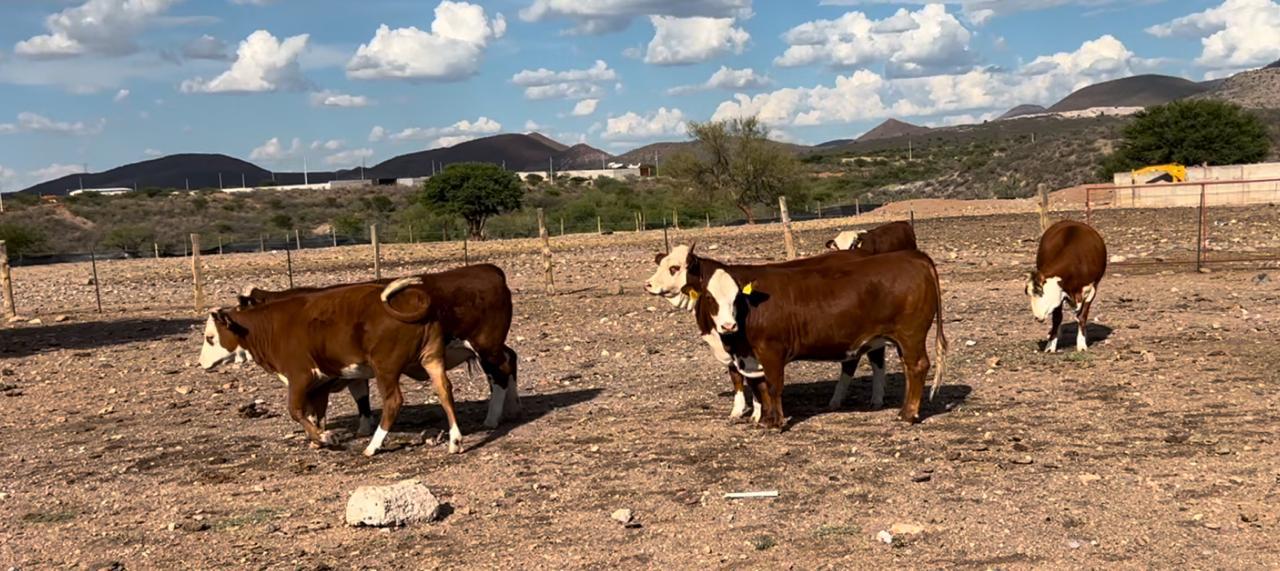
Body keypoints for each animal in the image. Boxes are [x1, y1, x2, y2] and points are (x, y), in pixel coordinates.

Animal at [696, 249, 947, 427]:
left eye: (737, 296)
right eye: (709, 297)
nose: (728, 325)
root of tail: (914, 256)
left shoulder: (772, 351)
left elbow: (774, 386)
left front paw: (776, 422)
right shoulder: (750, 357)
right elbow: (760, 387)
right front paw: (765, 419)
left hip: (911, 334)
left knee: (917, 366)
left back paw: (908, 415)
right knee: (908, 368)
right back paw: (905, 410)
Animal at [1024, 220, 1105, 350]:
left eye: (1042, 293)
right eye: (1030, 294)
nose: (1037, 316)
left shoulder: (1092, 289)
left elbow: (1082, 316)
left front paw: (1081, 344)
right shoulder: (1060, 294)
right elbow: (1057, 318)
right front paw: (1051, 344)